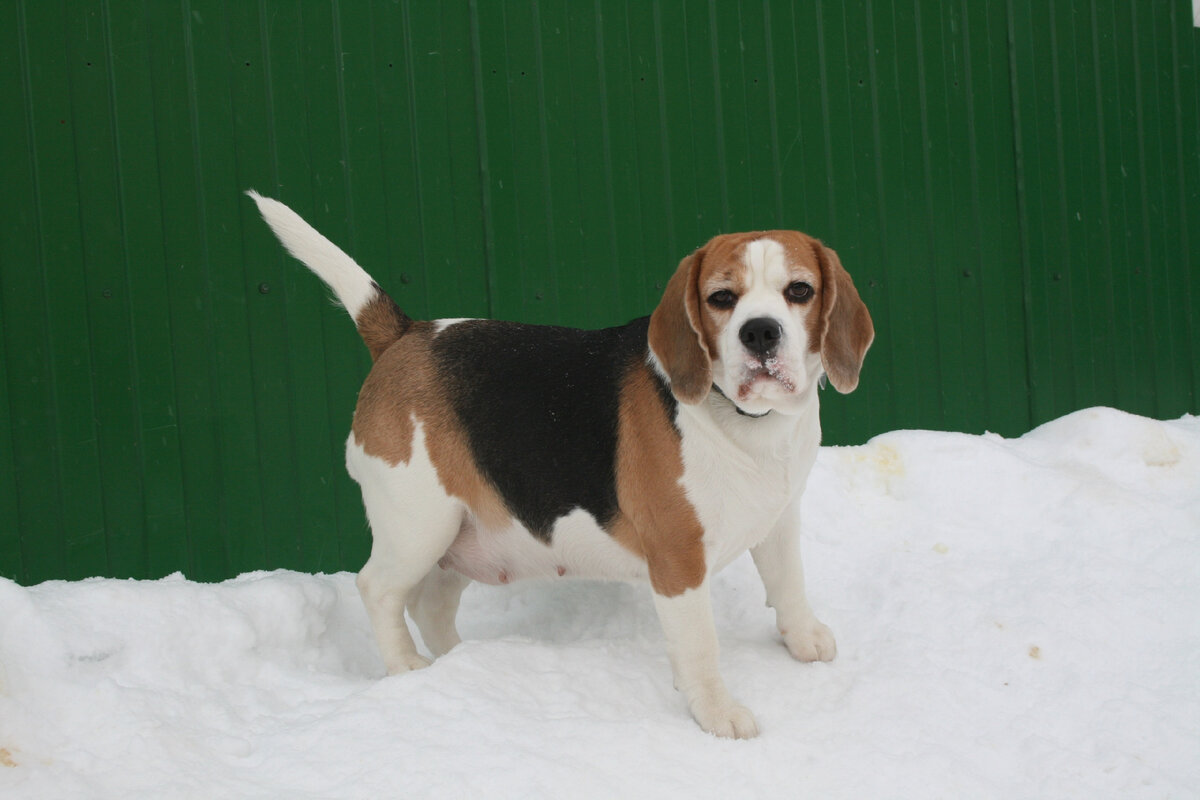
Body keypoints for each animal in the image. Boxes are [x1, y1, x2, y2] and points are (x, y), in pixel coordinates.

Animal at [253, 191, 873, 738]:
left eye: (800, 290)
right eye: (722, 298)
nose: (760, 331)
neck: (745, 421)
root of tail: (405, 335)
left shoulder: (779, 516)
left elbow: (788, 582)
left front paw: (803, 640)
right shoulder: (678, 558)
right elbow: (700, 646)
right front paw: (718, 714)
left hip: (462, 531)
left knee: (431, 603)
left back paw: (461, 664)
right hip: (418, 524)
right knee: (379, 589)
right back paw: (408, 668)